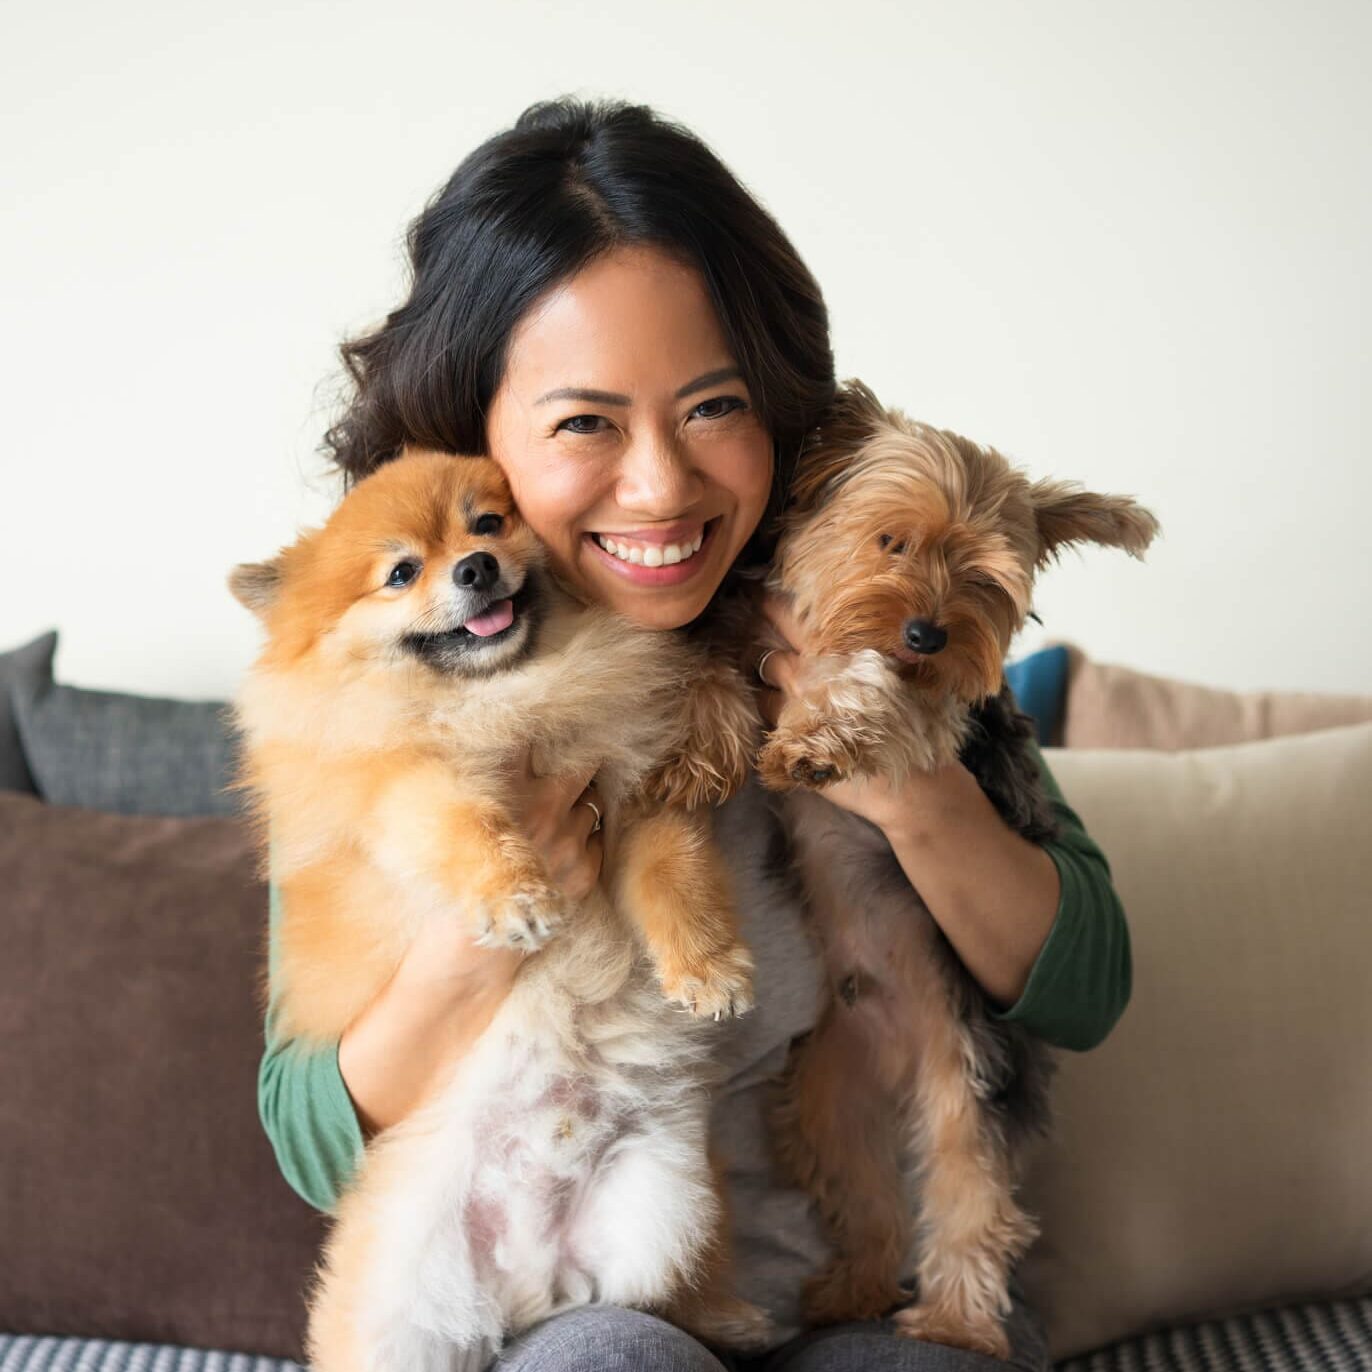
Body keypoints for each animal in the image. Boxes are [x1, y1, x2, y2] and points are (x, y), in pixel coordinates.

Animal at [233, 452, 773, 1372]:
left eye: (487, 523)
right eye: (401, 573)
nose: (476, 569)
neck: (513, 698)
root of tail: (528, 1283)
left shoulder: (634, 800)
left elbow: (676, 876)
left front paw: (708, 968)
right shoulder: (398, 785)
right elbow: (457, 818)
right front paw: (513, 896)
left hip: (657, 1216)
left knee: (658, 1290)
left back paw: (731, 1318)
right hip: (402, 1321)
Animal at [757, 381, 1152, 1355]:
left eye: (982, 578)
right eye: (890, 541)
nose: (926, 633)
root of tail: (906, 1056)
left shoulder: (947, 717)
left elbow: (876, 689)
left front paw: (818, 738)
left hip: (973, 1076)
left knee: (972, 1195)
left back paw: (955, 1322)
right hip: (827, 1094)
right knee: (864, 1191)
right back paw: (854, 1290)